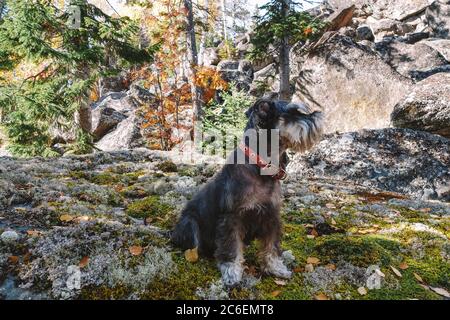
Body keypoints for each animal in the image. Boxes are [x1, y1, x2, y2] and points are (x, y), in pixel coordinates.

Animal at [172, 99, 324, 286]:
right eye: (293, 113)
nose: (319, 115)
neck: (261, 167)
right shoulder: (231, 219)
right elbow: (230, 247)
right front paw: (231, 272)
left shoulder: (271, 216)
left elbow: (271, 246)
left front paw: (276, 268)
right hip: (189, 223)